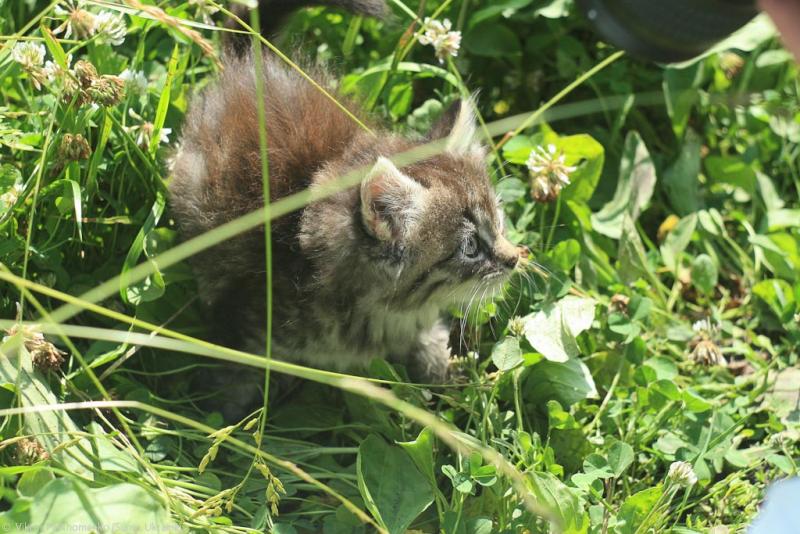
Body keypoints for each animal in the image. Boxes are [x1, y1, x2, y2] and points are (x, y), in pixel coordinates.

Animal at [169, 6, 520, 412]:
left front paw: (451, 387)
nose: (516, 258)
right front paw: (210, 421)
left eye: (499, 222)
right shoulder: (244, 326)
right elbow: (225, 389)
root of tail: (247, 64)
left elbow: (431, 350)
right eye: (470, 247)